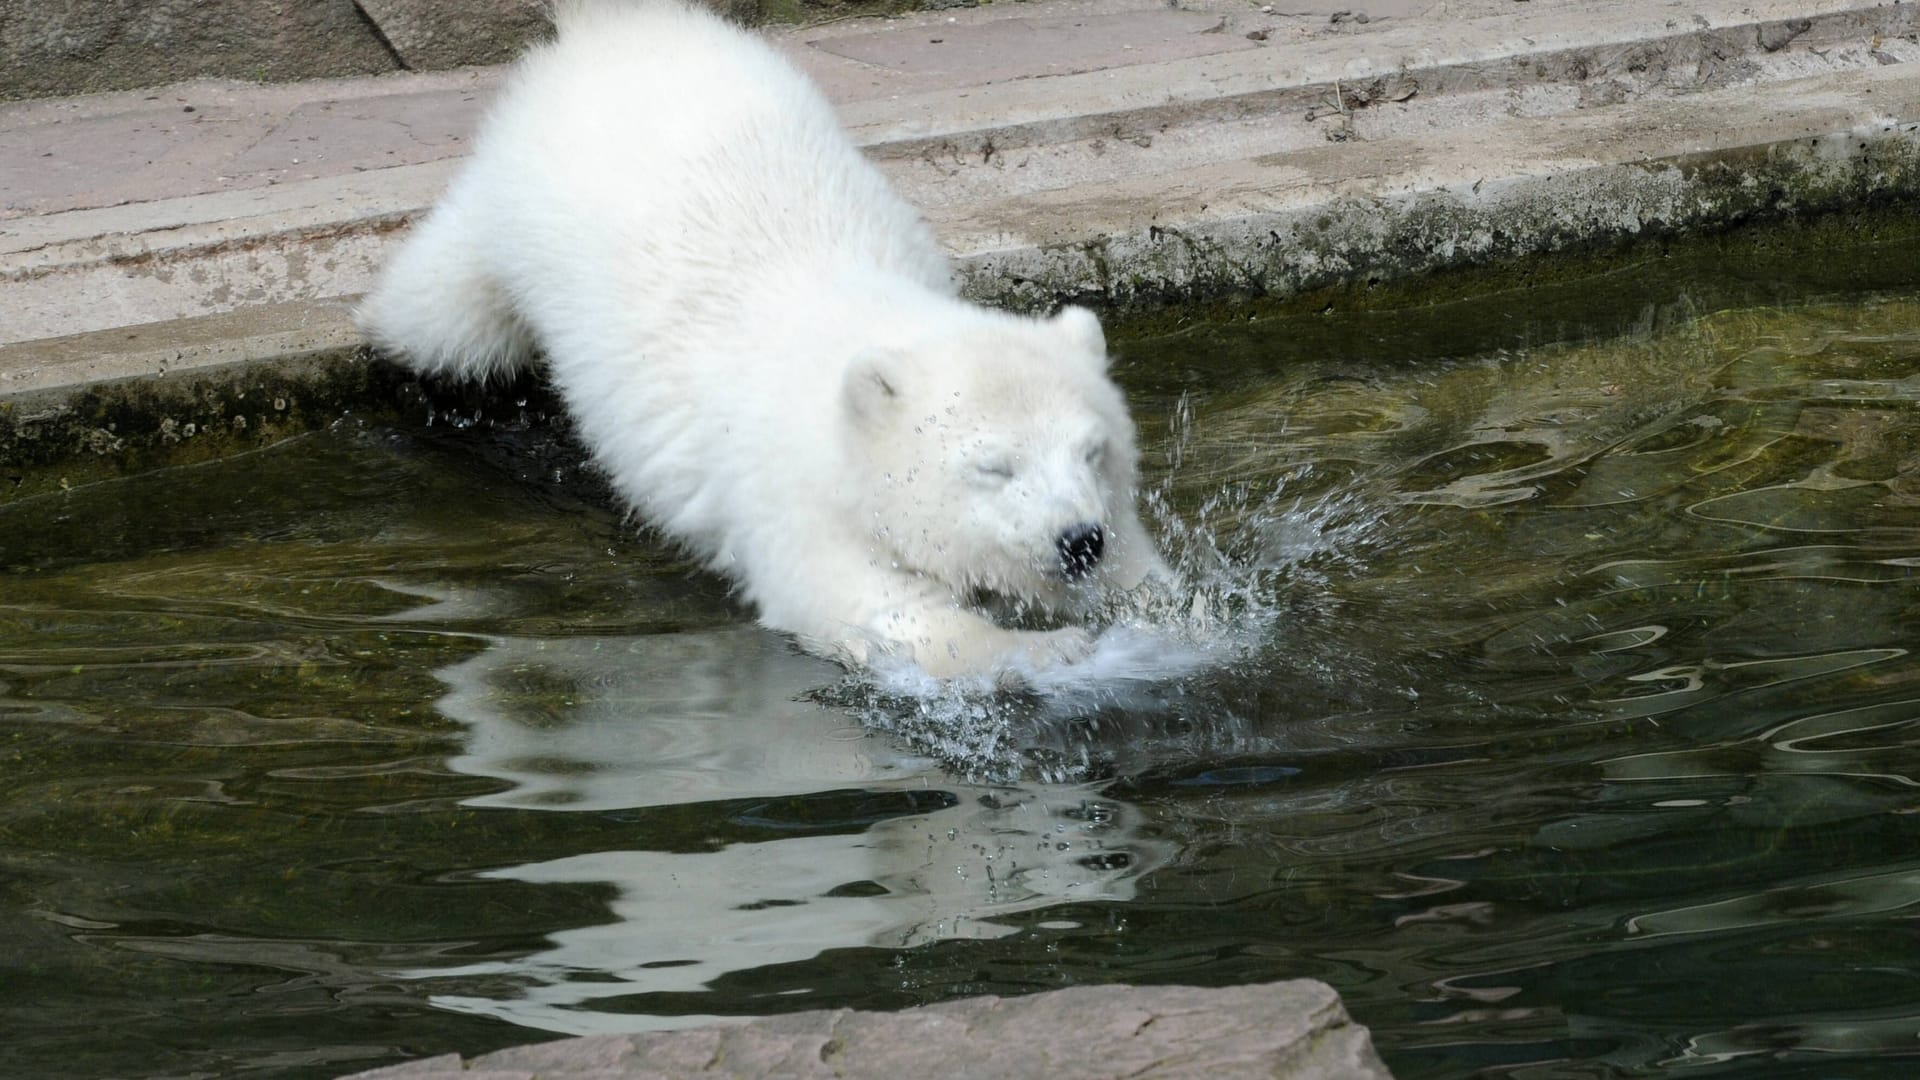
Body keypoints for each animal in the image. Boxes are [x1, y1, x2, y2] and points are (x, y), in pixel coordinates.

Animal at [360, 0, 1167, 672]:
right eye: (993, 466)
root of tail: (613, 28)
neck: (867, 320)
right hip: (515, 205)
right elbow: (863, 604)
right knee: (443, 314)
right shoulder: (794, 490)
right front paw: (1050, 650)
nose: (1078, 539)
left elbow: (1140, 570)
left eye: (1093, 451)